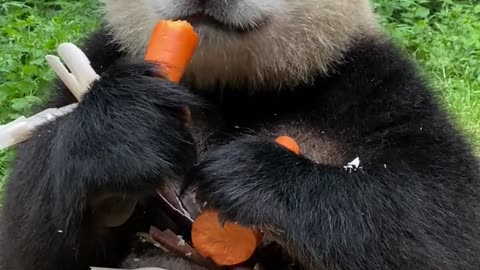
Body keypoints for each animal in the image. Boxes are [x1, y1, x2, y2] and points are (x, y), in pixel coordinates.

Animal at [0, 0, 480, 268]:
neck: (235, 84)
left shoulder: (372, 84)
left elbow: (444, 225)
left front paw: (250, 177)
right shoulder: (104, 58)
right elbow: (25, 239)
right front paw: (127, 131)